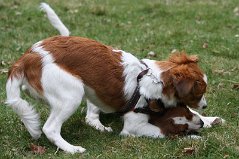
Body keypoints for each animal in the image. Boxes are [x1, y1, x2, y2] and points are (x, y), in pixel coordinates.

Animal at [5, 2, 225, 154]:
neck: (154, 80)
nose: (205, 105)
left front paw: (209, 120)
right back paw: (72, 148)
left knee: (90, 115)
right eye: (199, 93)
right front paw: (191, 136)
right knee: (51, 128)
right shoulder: (134, 126)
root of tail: (28, 57)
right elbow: (164, 132)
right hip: (72, 93)